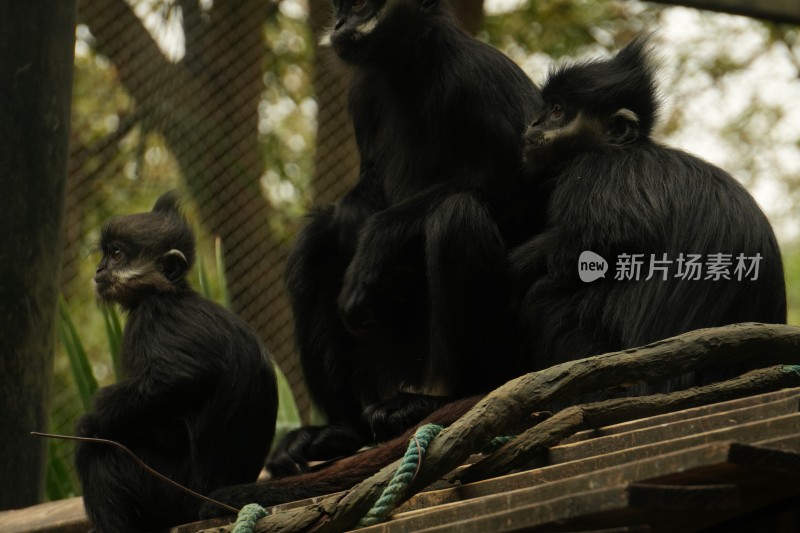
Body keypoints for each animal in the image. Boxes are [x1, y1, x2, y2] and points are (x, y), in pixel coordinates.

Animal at [75, 193, 280, 532]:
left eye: (116, 254)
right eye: (105, 254)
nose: (99, 268)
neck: (168, 292)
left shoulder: (156, 315)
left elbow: (183, 377)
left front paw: (96, 414)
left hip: (167, 490)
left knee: (98, 452)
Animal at [512, 35, 788, 388]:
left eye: (557, 110)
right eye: (545, 109)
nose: (534, 122)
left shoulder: (595, 173)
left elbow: (606, 238)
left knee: (546, 294)